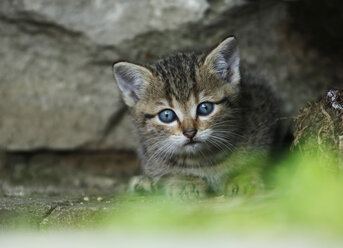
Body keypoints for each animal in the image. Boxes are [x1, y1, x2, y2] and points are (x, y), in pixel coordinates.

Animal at [113, 36, 280, 199]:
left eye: (205, 108)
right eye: (166, 115)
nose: (190, 132)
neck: (203, 158)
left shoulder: (264, 112)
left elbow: (256, 162)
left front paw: (242, 177)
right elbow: (166, 172)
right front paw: (184, 182)